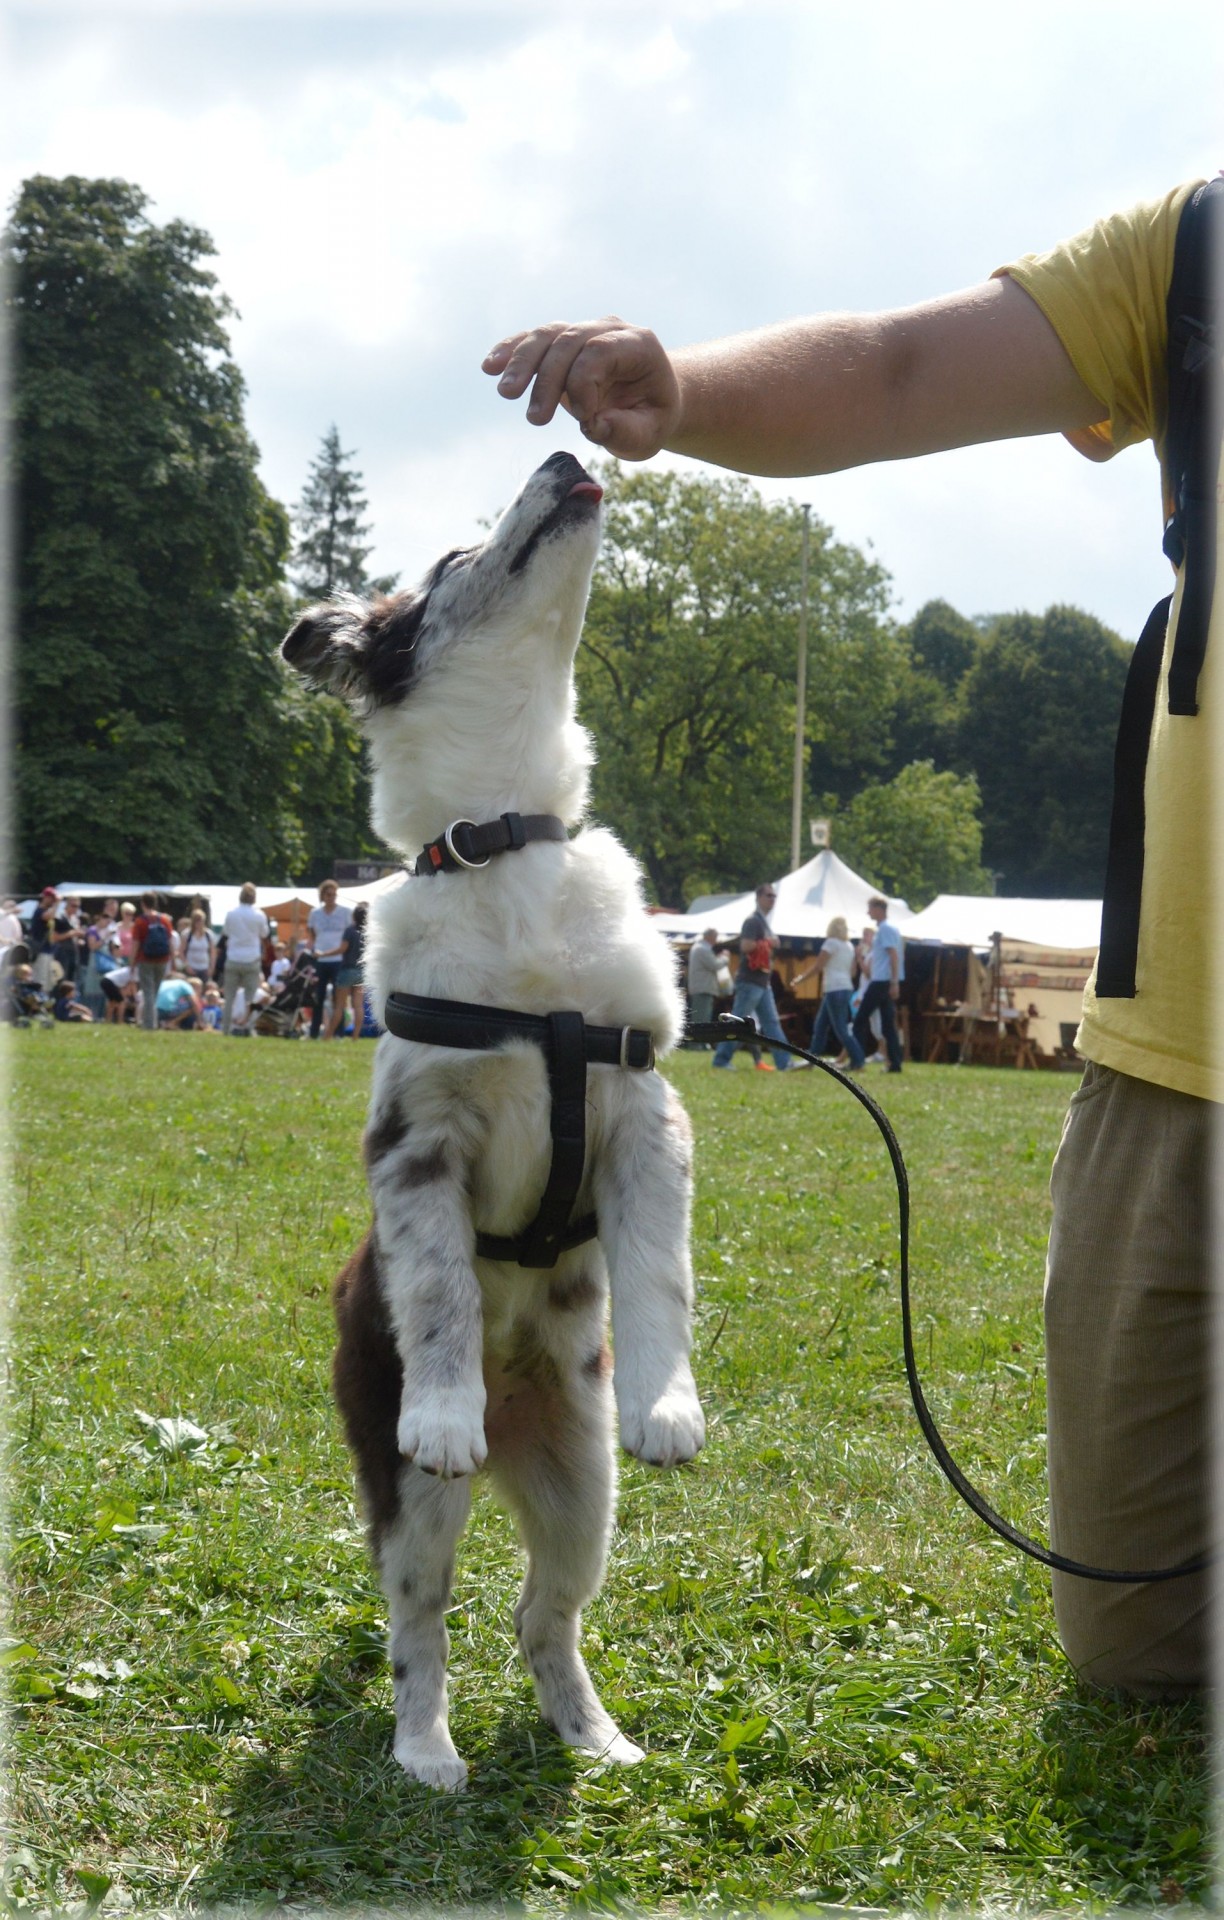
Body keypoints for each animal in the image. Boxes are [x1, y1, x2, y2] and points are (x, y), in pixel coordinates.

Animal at [285, 453, 709, 1797]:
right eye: (452, 560)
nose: (568, 458)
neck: (507, 843)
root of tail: (524, 1420)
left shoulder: (645, 1116)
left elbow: (660, 1274)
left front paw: (671, 1407)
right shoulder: (417, 1145)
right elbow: (439, 1291)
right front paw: (443, 1403)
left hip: (582, 1486)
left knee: (542, 1615)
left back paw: (595, 1737)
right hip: (412, 1502)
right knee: (421, 1622)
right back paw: (426, 1748)